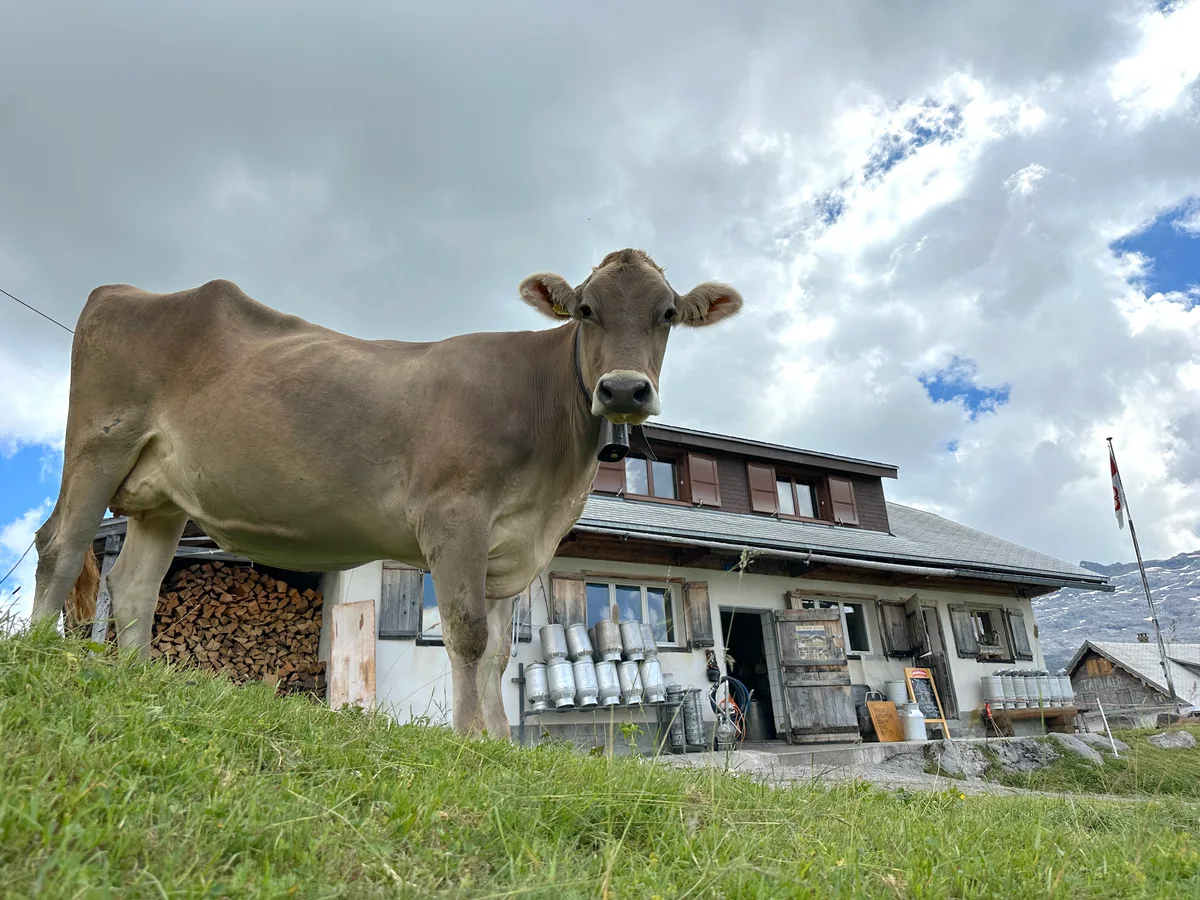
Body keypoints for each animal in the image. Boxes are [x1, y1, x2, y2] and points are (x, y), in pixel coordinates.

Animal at [30, 248, 743, 737]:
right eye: (586, 310)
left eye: (667, 314)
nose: (623, 389)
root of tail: (122, 291)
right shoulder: (454, 515)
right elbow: (466, 635)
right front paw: (468, 740)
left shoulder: (512, 547)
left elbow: (499, 654)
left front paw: (499, 743)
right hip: (99, 442)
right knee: (59, 544)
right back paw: (37, 655)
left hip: (163, 495)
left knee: (135, 585)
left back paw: (137, 680)